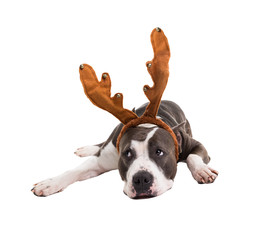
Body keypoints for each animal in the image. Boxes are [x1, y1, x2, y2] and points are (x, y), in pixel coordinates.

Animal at [31, 100, 218, 199]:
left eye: (159, 152)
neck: (146, 124)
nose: (141, 179)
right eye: (127, 153)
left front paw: (202, 171)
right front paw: (51, 183)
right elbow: (74, 170)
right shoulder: (102, 159)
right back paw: (87, 149)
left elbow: (193, 157)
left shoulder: (194, 144)